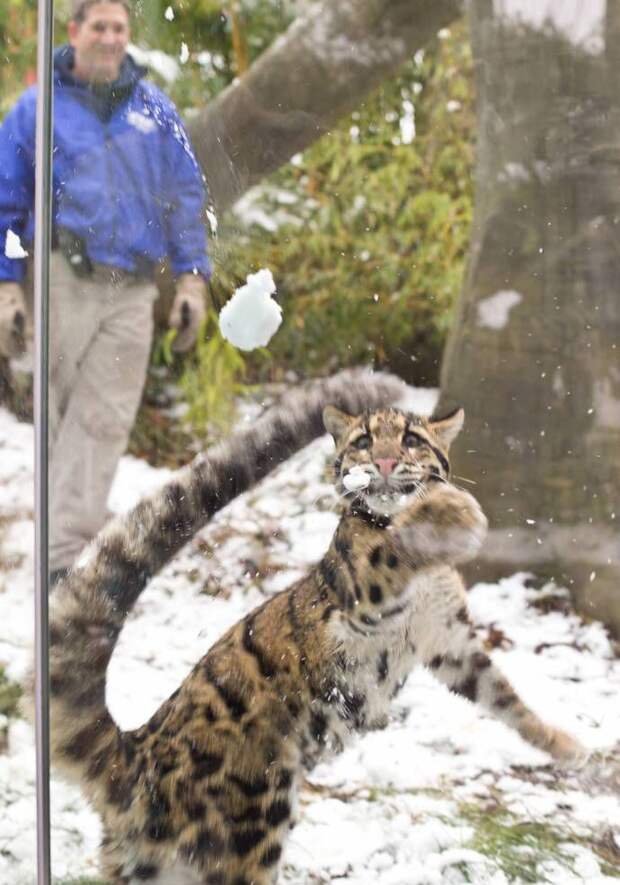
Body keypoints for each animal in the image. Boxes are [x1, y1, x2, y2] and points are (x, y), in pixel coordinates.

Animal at [41, 372, 584, 884]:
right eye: (363, 440)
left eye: (411, 439)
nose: (385, 463)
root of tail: (134, 752)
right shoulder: (364, 599)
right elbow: (394, 548)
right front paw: (451, 512)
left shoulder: (449, 639)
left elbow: (500, 692)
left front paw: (565, 745)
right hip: (248, 833)